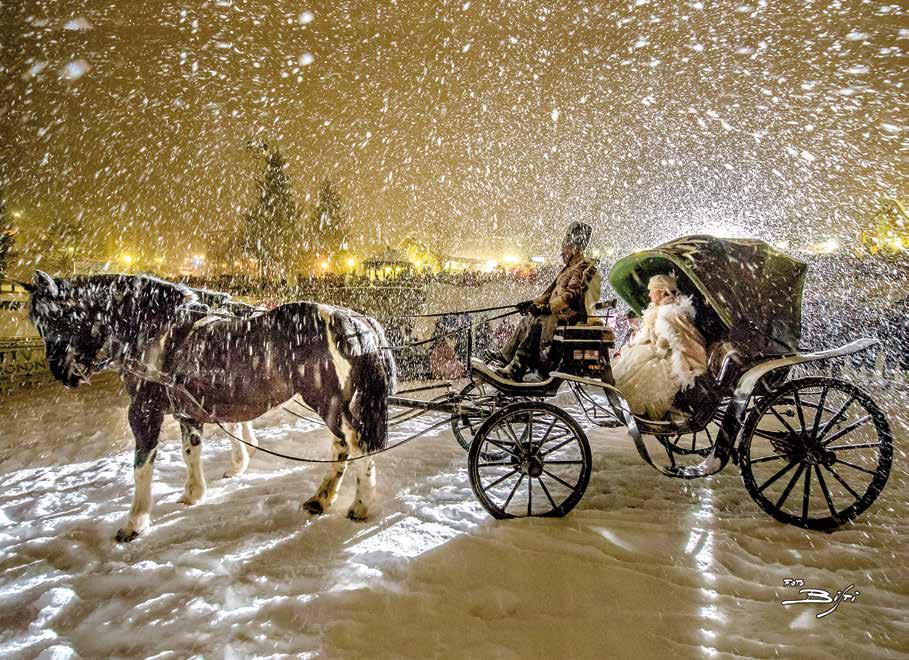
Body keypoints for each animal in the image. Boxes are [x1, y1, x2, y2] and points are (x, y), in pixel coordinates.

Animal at [26, 272, 396, 540]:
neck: (155, 330)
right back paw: (321, 499)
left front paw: (135, 523)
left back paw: (358, 505)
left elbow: (142, 466)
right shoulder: (188, 410)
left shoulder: (144, 412)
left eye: (57, 317)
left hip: (329, 402)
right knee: (346, 446)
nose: (62, 373)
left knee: (354, 444)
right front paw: (193, 494)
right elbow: (191, 451)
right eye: (38, 324)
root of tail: (353, 320)